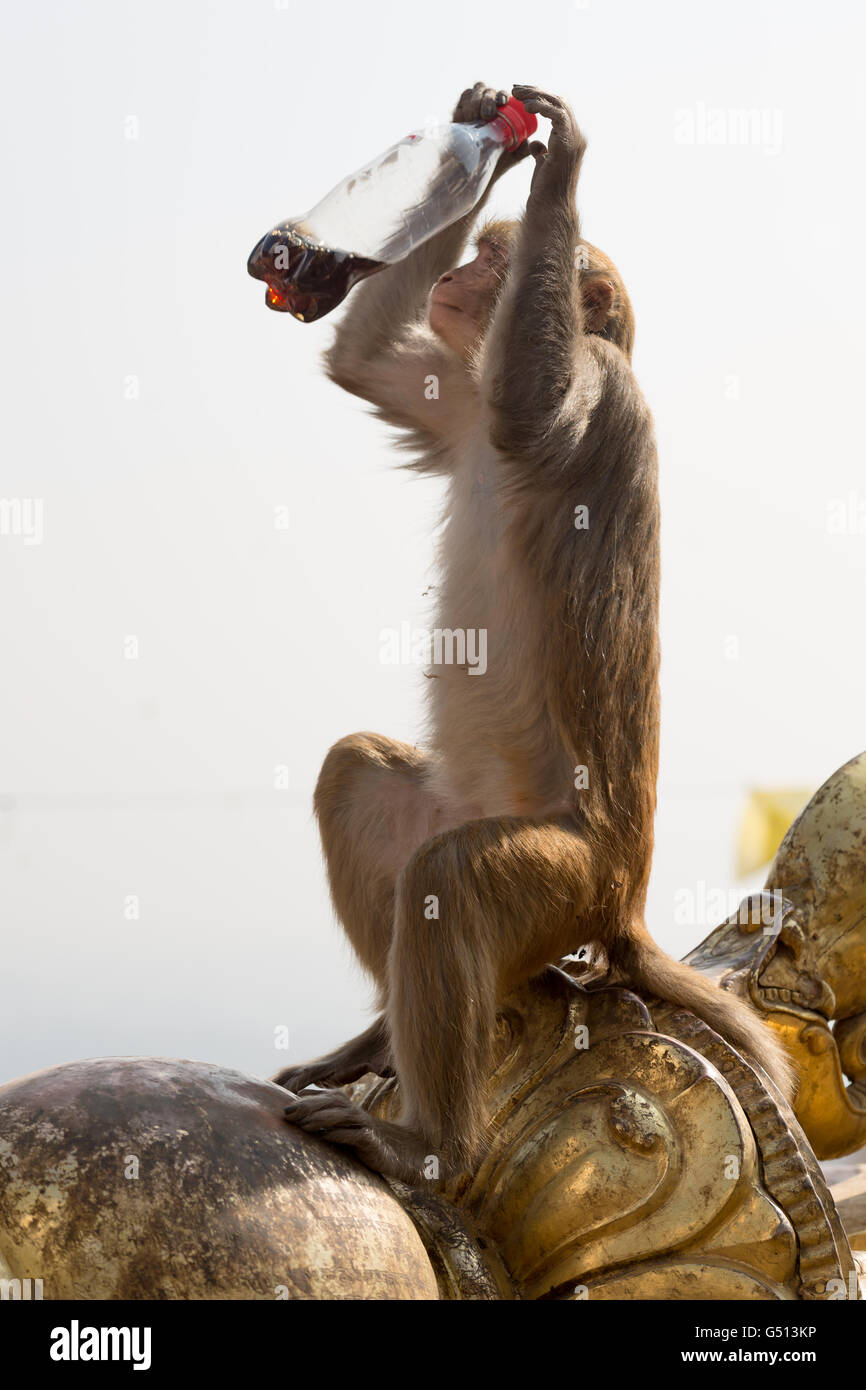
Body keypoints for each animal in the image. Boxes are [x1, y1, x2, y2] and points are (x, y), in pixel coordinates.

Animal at [273, 78, 795, 1184]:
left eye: (492, 263)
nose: (455, 273)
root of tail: (622, 902)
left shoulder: (587, 379)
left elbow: (524, 406)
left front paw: (561, 162)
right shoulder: (456, 399)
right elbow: (368, 361)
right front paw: (489, 135)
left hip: (561, 882)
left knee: (453, 881)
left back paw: (427, 1142)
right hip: (473, 832)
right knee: (363, 782)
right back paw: (383, 1043)